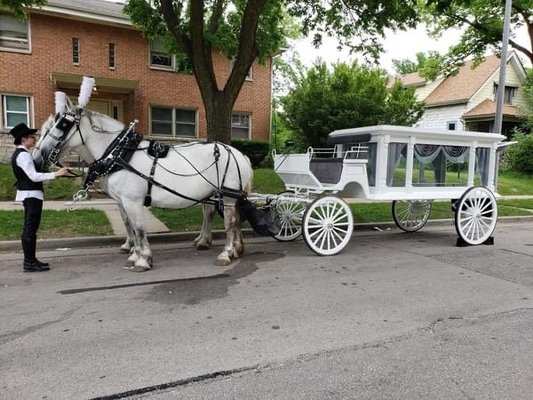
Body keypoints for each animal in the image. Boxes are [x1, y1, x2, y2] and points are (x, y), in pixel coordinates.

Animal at [34, 106, 252, 272]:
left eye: (62, 125)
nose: (38, 157)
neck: (119, 154)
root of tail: (239, 154)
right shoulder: (122, 201)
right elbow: (130, 225)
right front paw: (134, 254)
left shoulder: (132, 200)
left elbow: (138, 228)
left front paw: (142, 259)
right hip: (218, 194)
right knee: (217, 215)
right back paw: (229, 247)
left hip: (228, 196)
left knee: (230, 223)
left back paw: (226, 253)